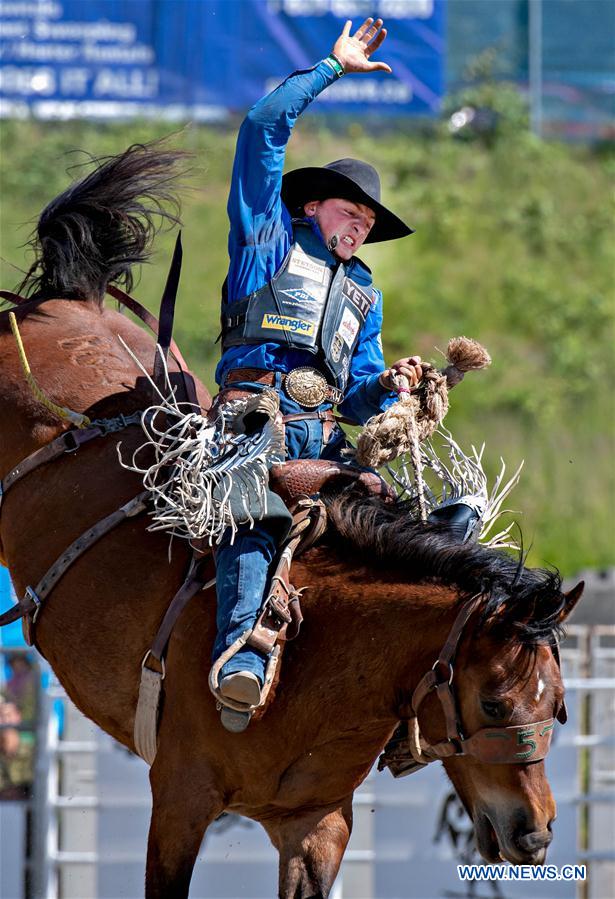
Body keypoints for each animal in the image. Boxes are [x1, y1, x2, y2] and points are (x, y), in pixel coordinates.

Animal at [0, 144, 584, 899]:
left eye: (560, 702)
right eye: (494, 704)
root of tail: (69, 300)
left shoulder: (316, 822)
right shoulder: (180, 797)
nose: (534, 834)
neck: (321, 655)